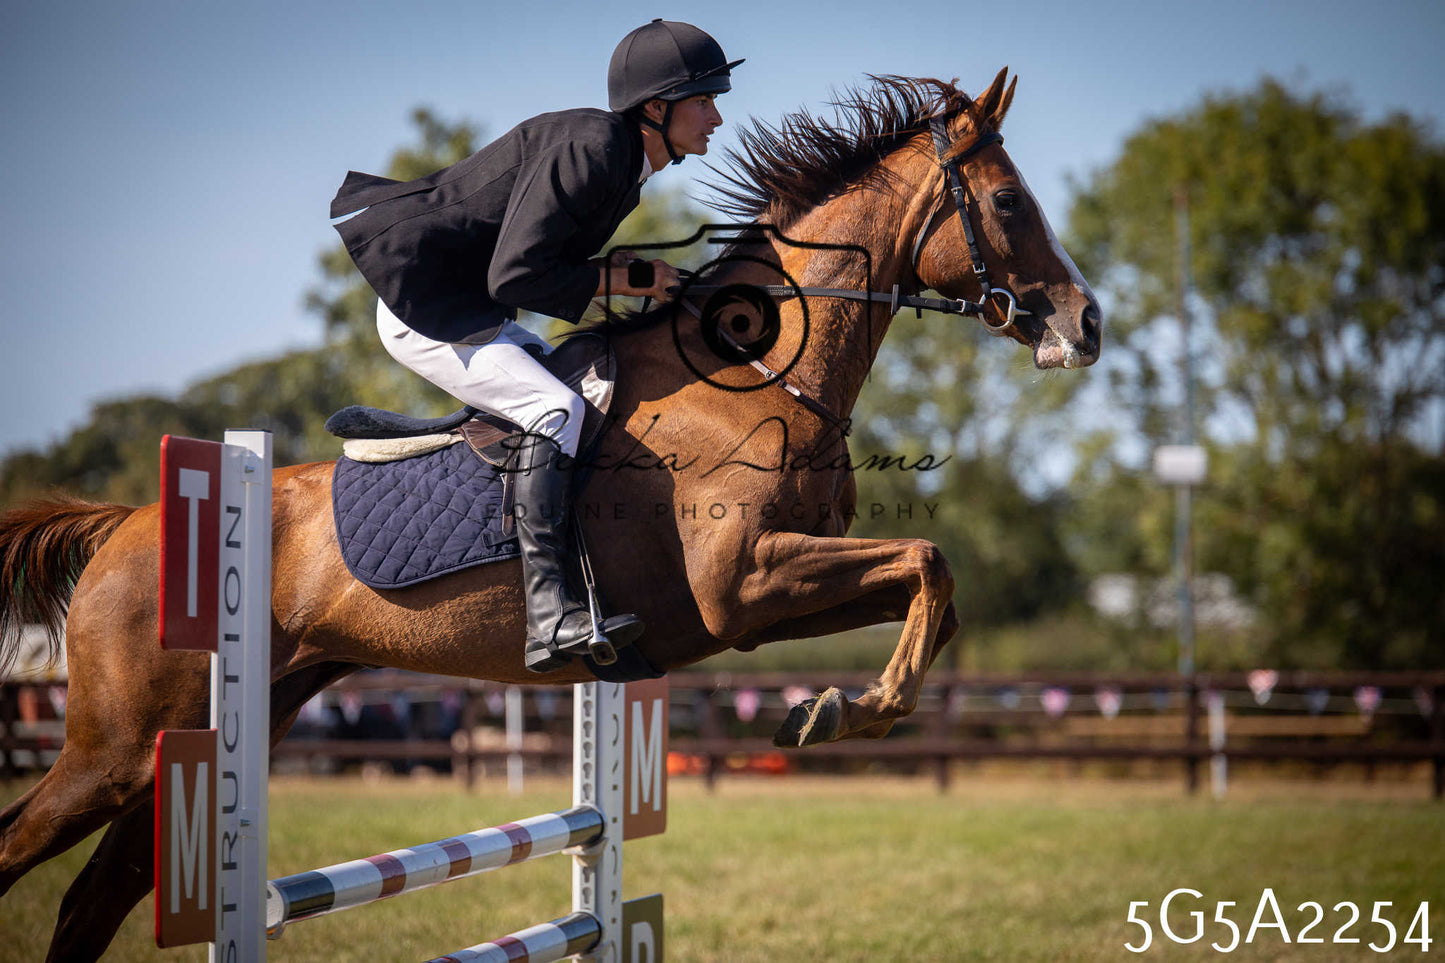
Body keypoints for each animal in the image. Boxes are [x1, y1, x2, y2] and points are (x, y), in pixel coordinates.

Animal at [0, 71, 1100, 960]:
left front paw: (841, 707)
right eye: (1008, 200)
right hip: (119, 746)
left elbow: (931, 584)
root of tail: (129, 522)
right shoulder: (743, 585)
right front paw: (839, 711)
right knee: (25, 846)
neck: (753, 372)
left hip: (217, 727)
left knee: (91, 899)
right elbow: (926, 557)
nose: (1085, 324)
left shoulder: (766, 602)